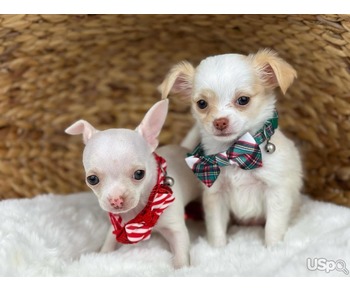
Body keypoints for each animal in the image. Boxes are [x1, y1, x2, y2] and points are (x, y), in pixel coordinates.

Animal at [65, 99, 200, 268]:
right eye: (92, 179)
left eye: (139, 174)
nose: (116, 200)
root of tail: (184, 148)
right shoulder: (117, 228)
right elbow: (109, 242)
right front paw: (102, 254)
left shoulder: (176, 228)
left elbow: (181, 251)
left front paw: (181, 268)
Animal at [159, 49, 304, 246]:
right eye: (202, 103)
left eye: (243, 100)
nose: (220, 122)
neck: (233, 153)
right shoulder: (215, 196)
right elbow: (216, 229)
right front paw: (217, 249)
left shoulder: (276, 192)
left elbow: (273, 227)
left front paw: (273, 248)